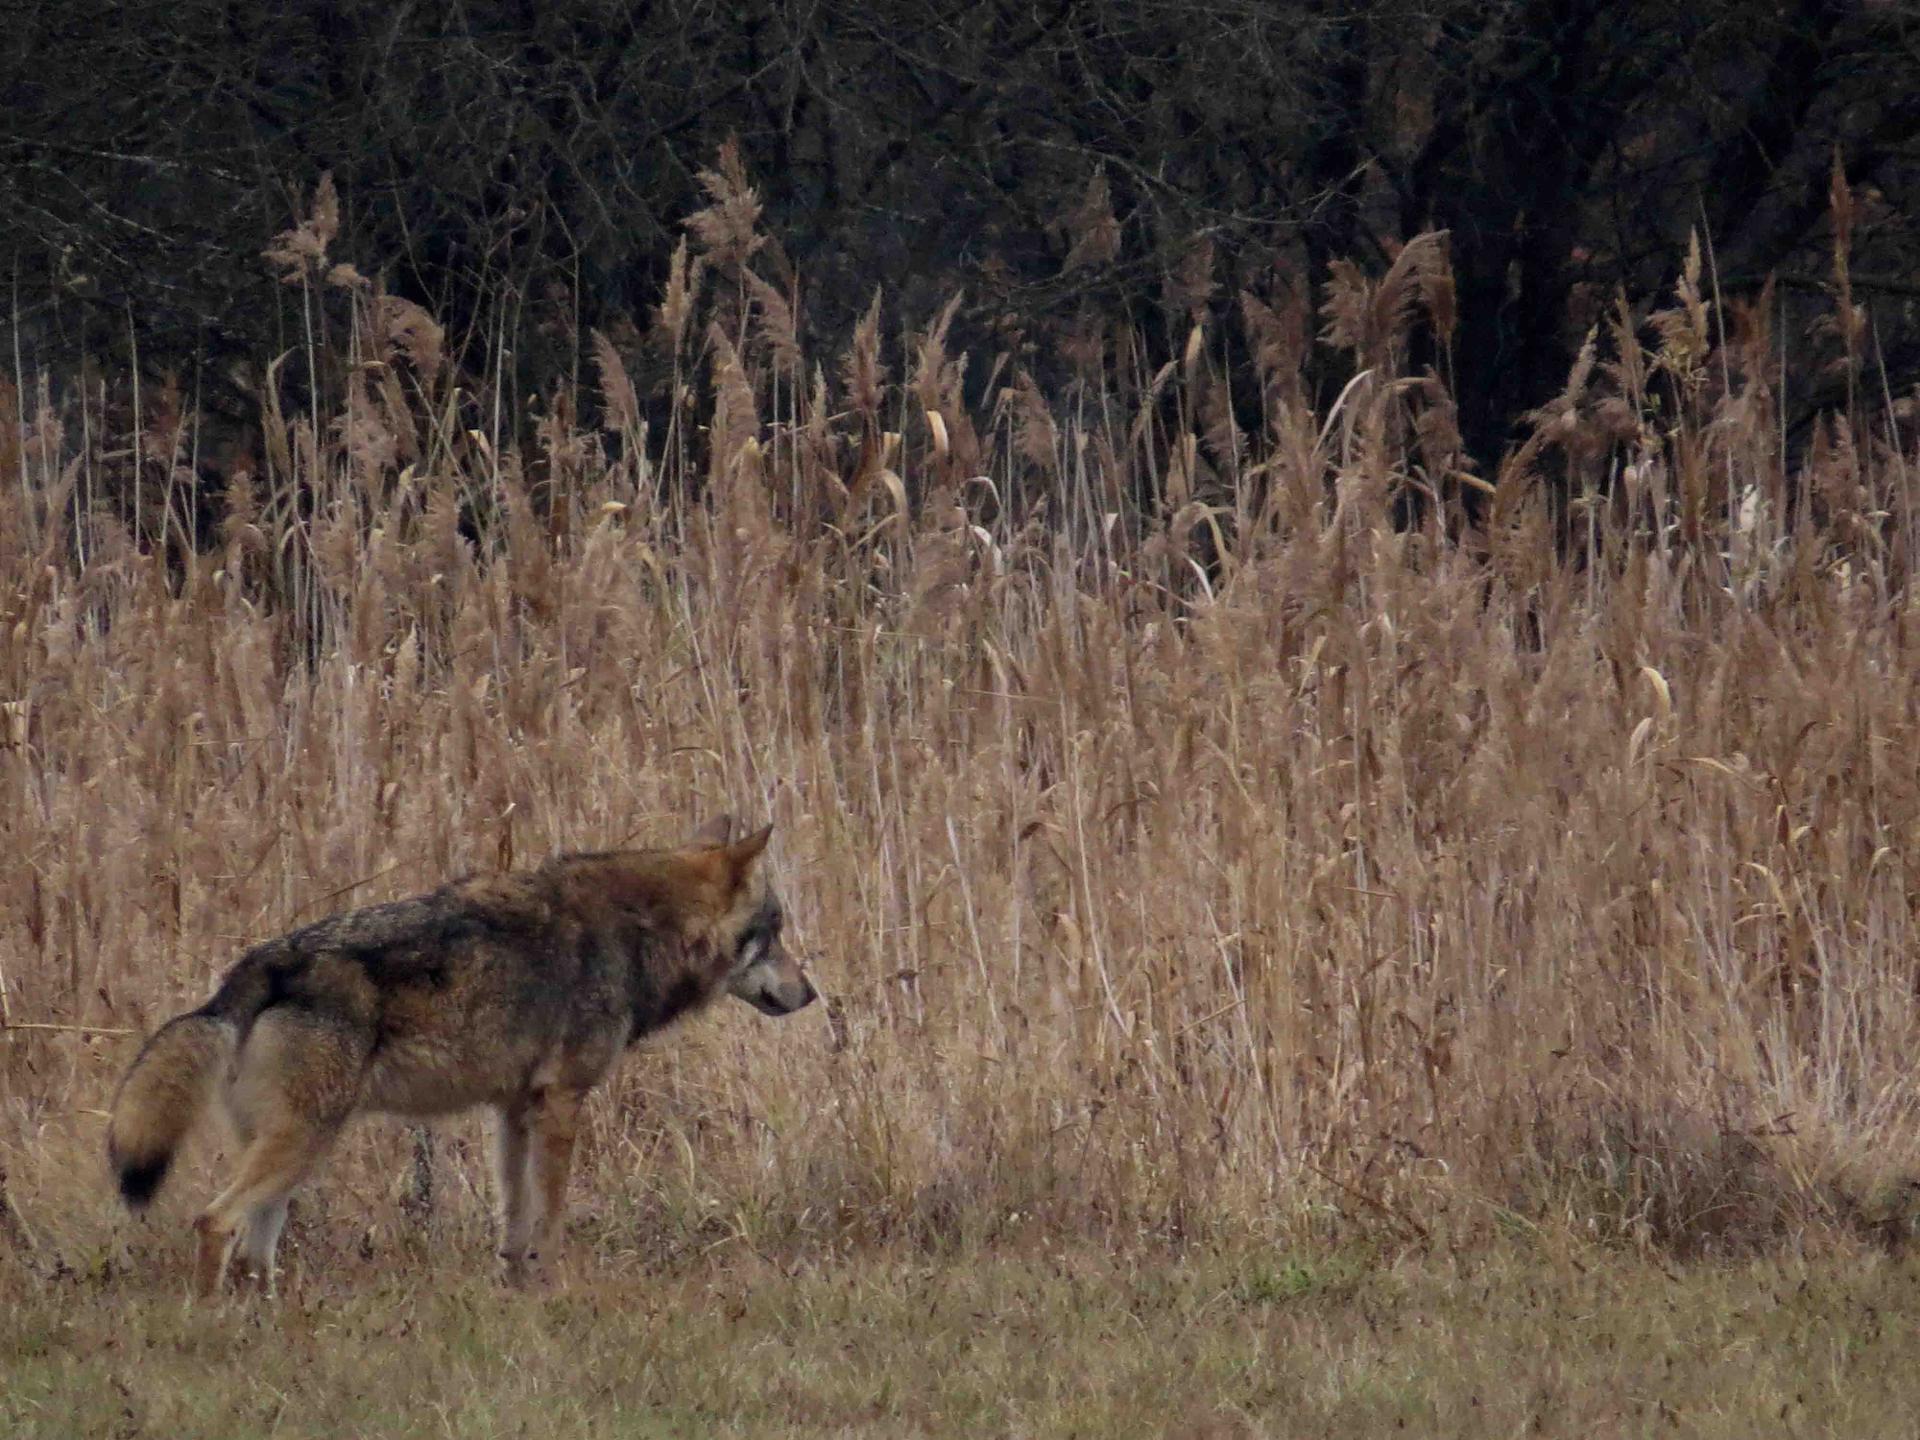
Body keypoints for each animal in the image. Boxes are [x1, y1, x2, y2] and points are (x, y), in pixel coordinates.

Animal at [107, 817, 810, 1305]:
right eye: (774, 933)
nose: (811, 994)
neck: (639, 931)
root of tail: (255, 969)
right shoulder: (562, 1102)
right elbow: (551, 1216)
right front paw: (554, 1289)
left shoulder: (515, 1111)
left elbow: (516, 1218)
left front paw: (518, 1289)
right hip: (303, 1142)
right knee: (214, 1221)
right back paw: (211, 1318)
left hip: (296, 1153)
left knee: (256, 1252)